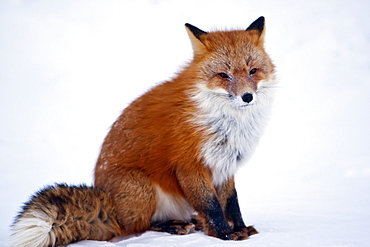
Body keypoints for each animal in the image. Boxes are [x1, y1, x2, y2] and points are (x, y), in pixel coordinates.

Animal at [7, 16, 276, 246]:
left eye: (253, 71)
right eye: (223, 75)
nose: (247, 96)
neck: (228, 122)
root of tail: (108, 203)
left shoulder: (225, 164)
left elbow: (231, 203)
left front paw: (239, 228)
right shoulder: (190, 165)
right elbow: (211, 207)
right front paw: (224, 234)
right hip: (144, 189)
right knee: (134, 227)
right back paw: (172, 225)